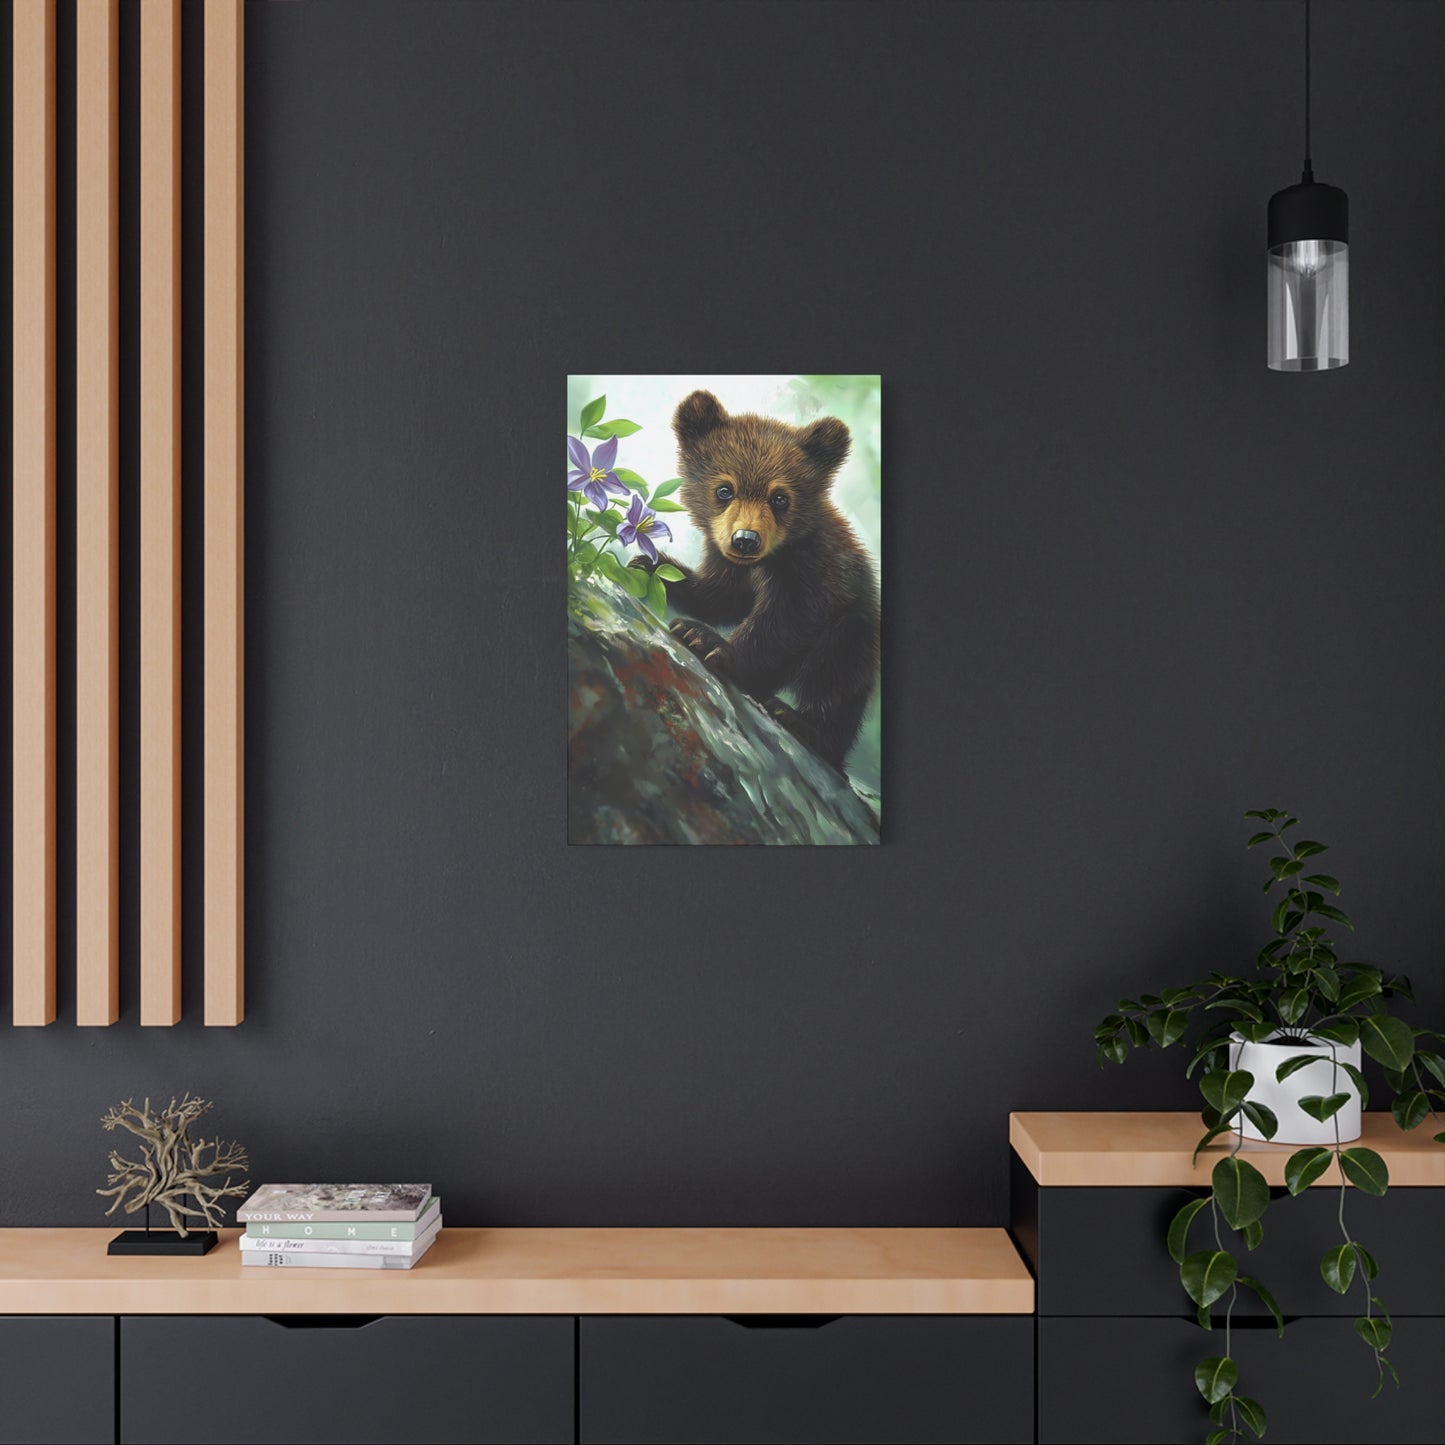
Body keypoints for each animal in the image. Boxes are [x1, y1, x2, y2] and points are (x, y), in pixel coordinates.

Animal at [631, 389, 880, 773]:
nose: (745, 539)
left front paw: (705, 638)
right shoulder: (728, 561)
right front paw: (652, 565)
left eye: (780, 497)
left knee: (837, 671)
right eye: (724, 489)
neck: (768, 561)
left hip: (857, 632)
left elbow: (786, 621)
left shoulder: (814, 570)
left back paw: (799, 720)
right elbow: (720, 595)